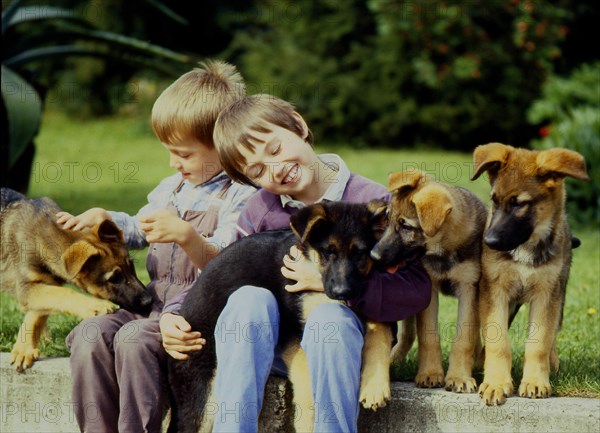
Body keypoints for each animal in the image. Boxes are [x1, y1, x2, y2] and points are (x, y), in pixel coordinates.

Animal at [1, 187, 151, 370]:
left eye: (132, 267)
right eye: (114, 278)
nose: (149, 301)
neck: (41, 238)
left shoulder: (45, 284)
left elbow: (38, 312)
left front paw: (25, 348)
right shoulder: (27, 288)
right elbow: (63, 294)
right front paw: (95, 306)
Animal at [168, 202, 394, 432]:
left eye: (360, 253)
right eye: (327, 252)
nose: (343, 293)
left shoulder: (373, 304)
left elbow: (381, 333)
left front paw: (375, 386)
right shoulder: (293, 334)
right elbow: (307, 386)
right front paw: (308, 424)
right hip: (202, 395)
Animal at [370, 170, 488, 392]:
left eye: (406, 227)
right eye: (387, 219)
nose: (373, 256)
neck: (445, 250)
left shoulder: (469, 288)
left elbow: (464, 339)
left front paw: (459, 377)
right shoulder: (429, 287)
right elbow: (428, 336)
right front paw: (431, 373)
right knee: (407, 334)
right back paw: (393, 360)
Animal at [472, 143, 588, 404]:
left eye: (519, 204)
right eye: (494, 200)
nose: (488, 242)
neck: (525, 249)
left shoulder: (546, 295)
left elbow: (539, 342)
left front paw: (535, 381)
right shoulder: (495, 291)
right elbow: (497, 341)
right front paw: (496, 382)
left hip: (560, 294)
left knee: (553, 333)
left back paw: (552, 362)